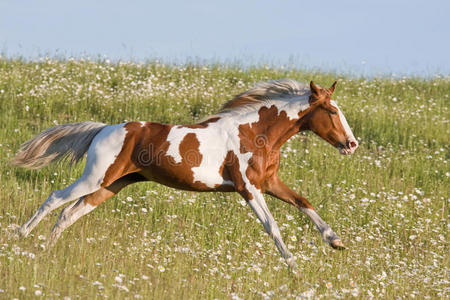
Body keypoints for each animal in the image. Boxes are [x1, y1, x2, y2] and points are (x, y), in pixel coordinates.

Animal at [12, 78, 358, 268]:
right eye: (331, 111)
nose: (351, 144)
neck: (254, 133)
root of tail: (103, 129)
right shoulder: (248, 188)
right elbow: (272, 227)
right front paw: (294, 268)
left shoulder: (269, 182)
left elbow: (304, 202)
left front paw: (336, 241)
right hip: (95, 177)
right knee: (55, 199)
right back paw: (21, 237)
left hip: (110, 186)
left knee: (69, 214)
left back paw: (45, 251)